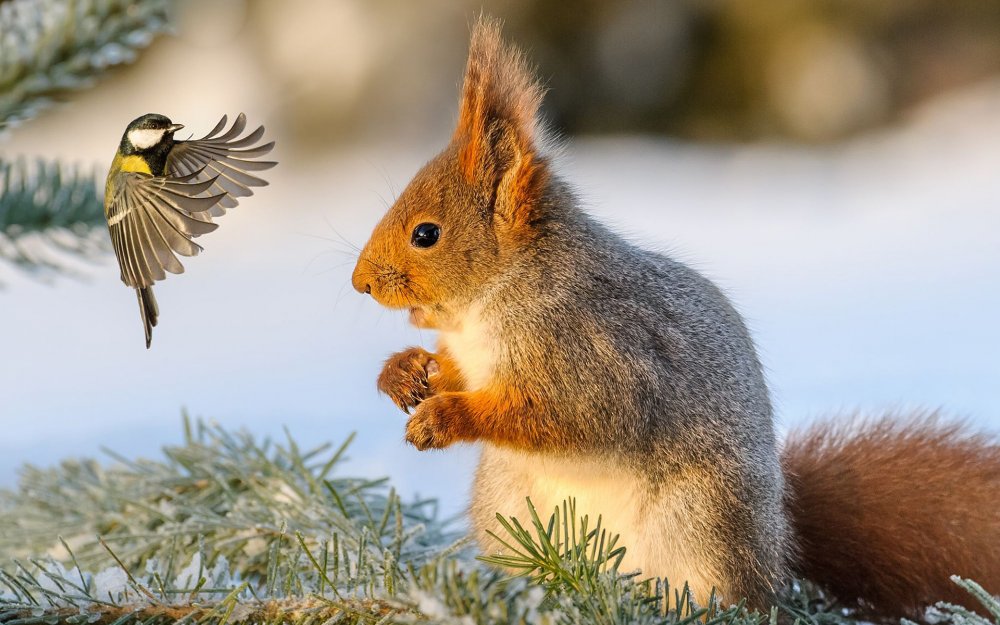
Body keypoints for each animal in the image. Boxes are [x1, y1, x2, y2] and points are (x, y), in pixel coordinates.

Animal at [348, 17, 996, 616]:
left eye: (426, 234)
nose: (359, 283)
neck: (490, 305)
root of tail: (779, 546)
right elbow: (454, 372)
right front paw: (405, 372)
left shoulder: (595, 353)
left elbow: (563, 416)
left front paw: (444, 417)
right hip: (510, 507)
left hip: (701, 524)